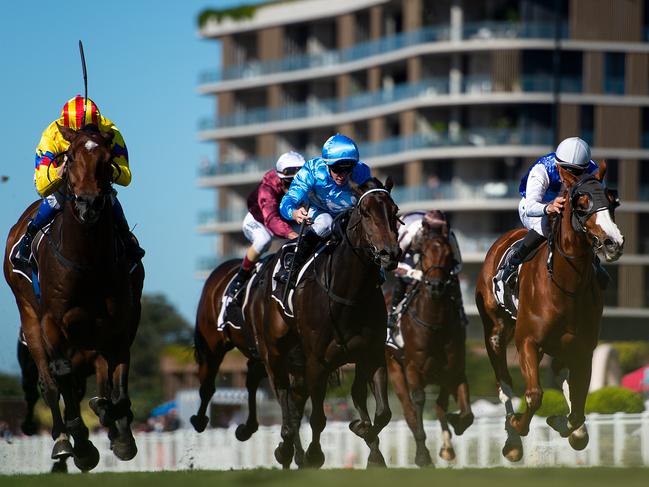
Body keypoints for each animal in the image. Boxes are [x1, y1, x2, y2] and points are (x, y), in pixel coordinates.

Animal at [2, 124, 144, 470]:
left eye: (106, 160)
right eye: (71, 156)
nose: (88, 204)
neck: (87, 262)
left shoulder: (119, 324)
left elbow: (117, 384)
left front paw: (120, 433)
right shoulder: (52, 322)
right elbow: (62, 377)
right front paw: (81, 440)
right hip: (30, 320)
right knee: (50, 385)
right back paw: (63, 440)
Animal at [247, 178, 400, 468]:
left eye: (394, 211)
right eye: (365, 213)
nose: (390, 254)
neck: (349, 294)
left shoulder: (371, 354)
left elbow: (383, 412)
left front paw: (366, 438)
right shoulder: (317, 362)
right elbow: (318, 417)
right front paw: (314, 455)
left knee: (301, 398)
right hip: (274, 352)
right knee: (283, 394)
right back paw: (286, 447)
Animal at [384, 212, 470, 468]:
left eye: (449, 255)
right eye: (424, 254)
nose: (436, 286)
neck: (435, 324)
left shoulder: (455, 369)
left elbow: (463, 413)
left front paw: (453, 430)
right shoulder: (413, 368)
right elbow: (419, 404)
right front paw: (423, 455)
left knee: (439, 406)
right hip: (395, 369)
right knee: (409, 411)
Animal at [476, 162, 624, 464]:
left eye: (612, 201)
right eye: (581, 203)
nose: (613, 242)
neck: (567, 285)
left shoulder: (583, 349)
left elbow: (578, 407)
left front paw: (567, 426)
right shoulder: (527, 342)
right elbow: (534, 395)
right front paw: (517, 427)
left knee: (562, 379)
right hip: (495, 332)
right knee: (504, 383)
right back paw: (512, 440)